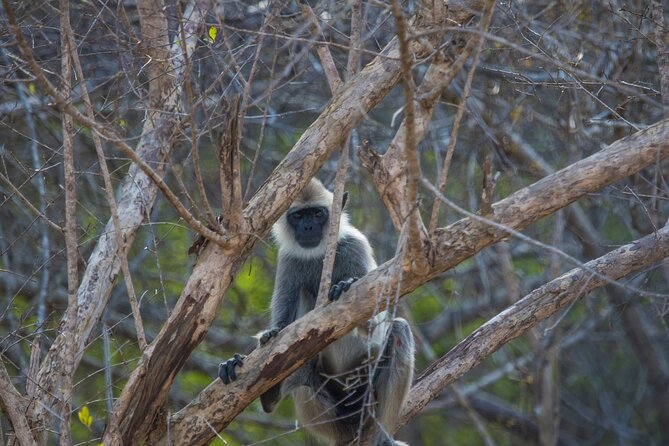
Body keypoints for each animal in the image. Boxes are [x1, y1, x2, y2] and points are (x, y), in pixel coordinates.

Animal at [220, 179, 412, 446]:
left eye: (318, 214)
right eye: (298, 216)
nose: (308, 226)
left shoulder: (357, 246)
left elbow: (377, 327)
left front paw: (345, 285)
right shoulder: (289, 259)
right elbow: (282, 335)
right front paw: (265, 339)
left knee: (399, 330)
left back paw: (381, 436)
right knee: (301, 374)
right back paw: (269, 396)